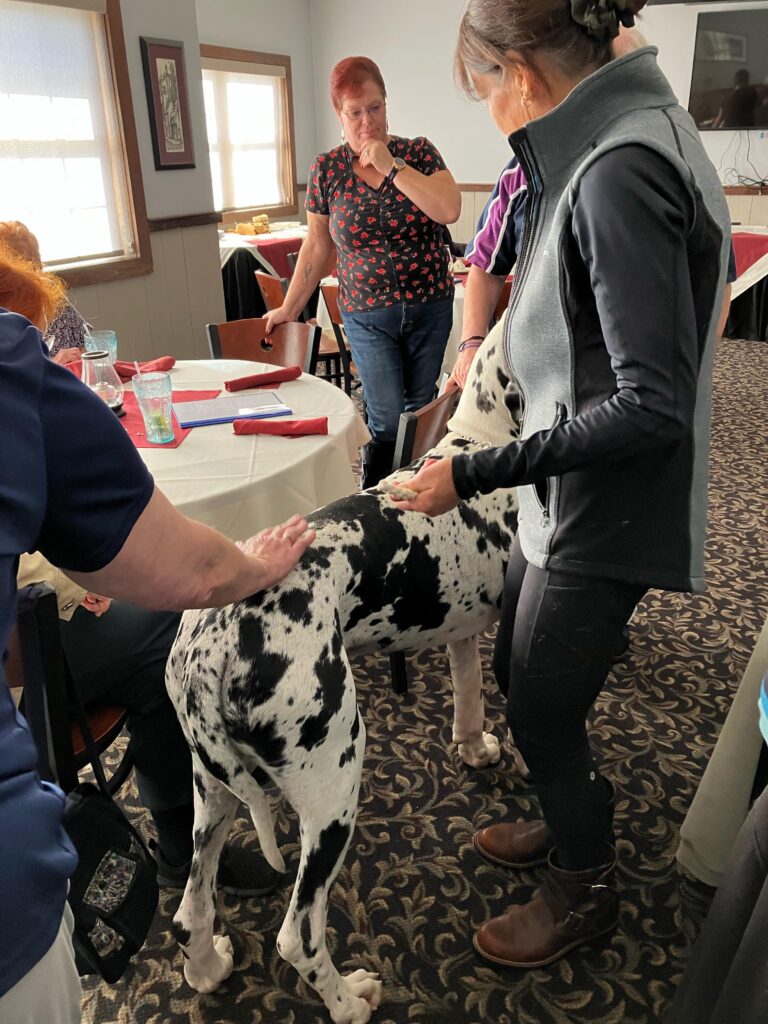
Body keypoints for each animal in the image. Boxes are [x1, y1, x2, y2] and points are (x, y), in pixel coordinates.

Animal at [167, 325, 524, 1024]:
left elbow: (468, 699)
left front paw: (474, 749)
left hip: (213, 788)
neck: (485, 437)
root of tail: (211, 646)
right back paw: (349, 1000)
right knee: (298, 933)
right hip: (332, 787)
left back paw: (209, 969)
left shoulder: (463, 629)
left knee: (191, 910)